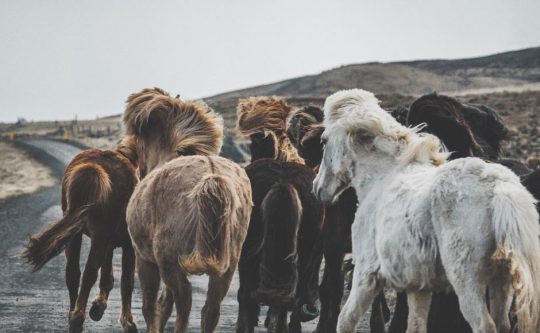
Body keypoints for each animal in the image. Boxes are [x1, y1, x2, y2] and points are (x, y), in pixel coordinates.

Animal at [20, 136, 139, 332]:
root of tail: (93, 167)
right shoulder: (127, 245)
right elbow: (126, 281)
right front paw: (128, 323)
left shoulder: (109, 243)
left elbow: (107, 277)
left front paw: (98, 308)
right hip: (98, 235)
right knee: (89, 272)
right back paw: (77, 319)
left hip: (75, 234)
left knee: (73, 273)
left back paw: (73, 318)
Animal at [123, 88, 252, 332]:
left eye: (140, 138)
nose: (129, 153)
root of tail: (212, 177)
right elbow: (164, 305)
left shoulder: (145, 260)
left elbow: (150, 307)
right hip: (227, 268)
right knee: (209, 310)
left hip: (169, 264)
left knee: (184, 300)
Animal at [312, 88, 540, 332]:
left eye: (324, 141)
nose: (318, 189)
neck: (382, 178)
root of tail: (498, 189)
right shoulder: (418, 287)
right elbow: (415, 324)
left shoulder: (367, 274)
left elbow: (346, 319)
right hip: (501, 281)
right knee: (502, 323)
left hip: (467, 282)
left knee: (483, 324)